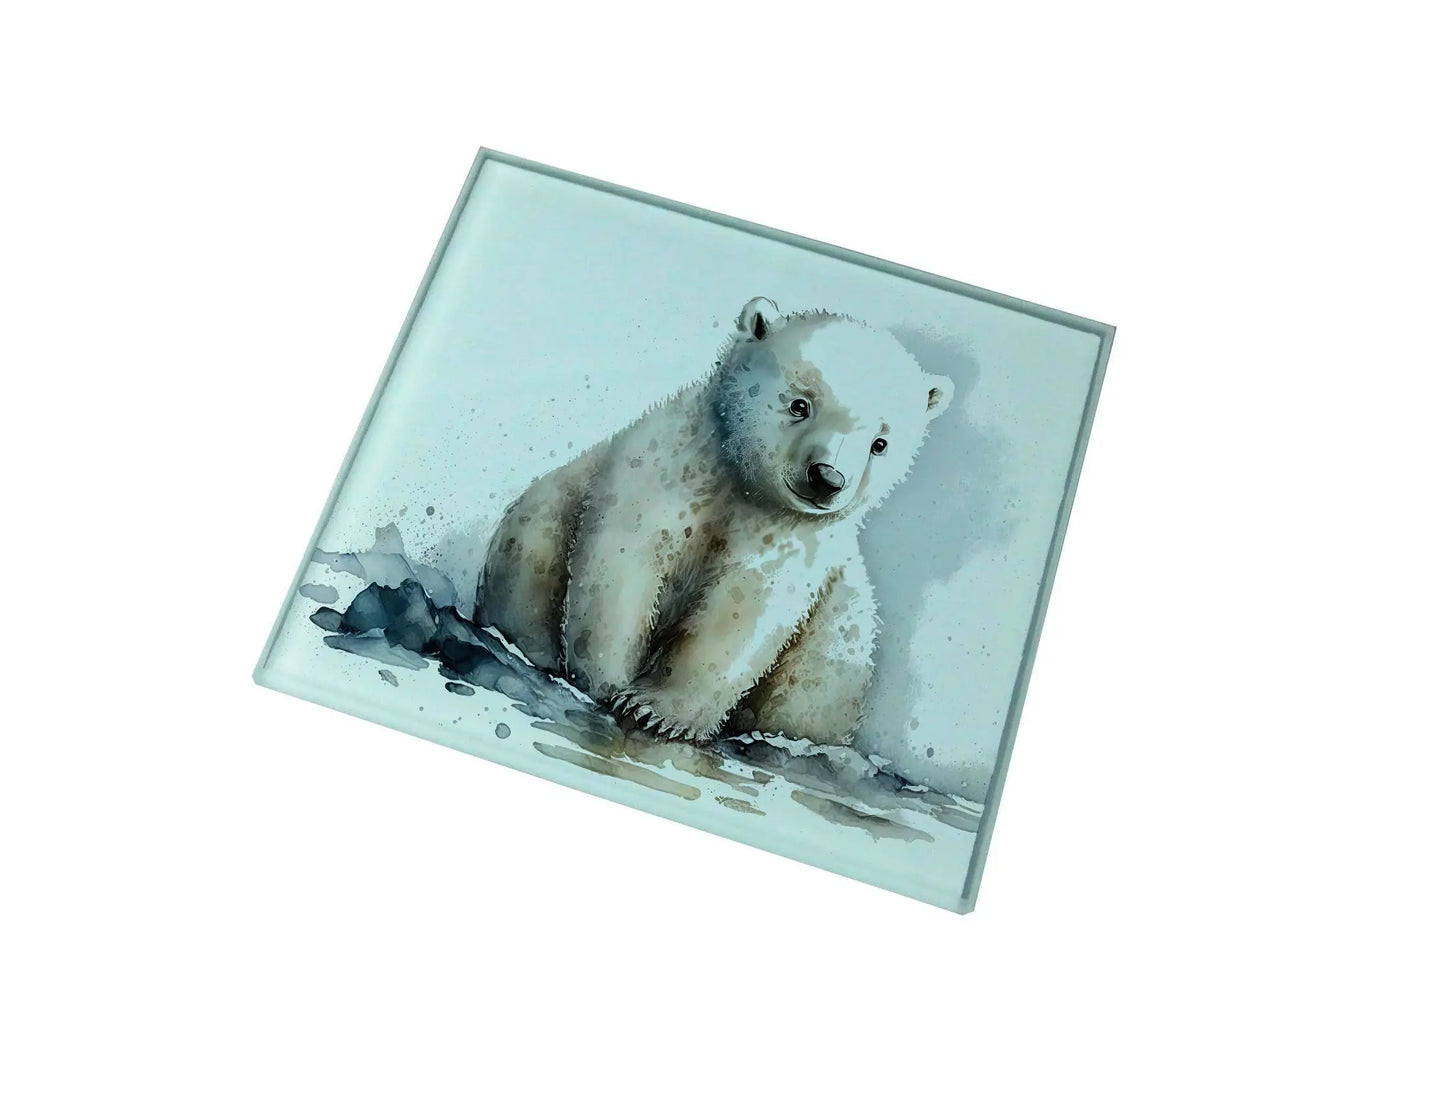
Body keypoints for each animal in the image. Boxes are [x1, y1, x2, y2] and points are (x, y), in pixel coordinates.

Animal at [477, 297, 953, 745]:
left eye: (879, 444)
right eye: (800, 405)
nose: (827, 478)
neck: (744, 487)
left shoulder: (791, 540)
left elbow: (743, 610)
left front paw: (653, 709)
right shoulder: (669, 470)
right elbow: (625, 559)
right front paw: (607, 682)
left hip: (837, 645)